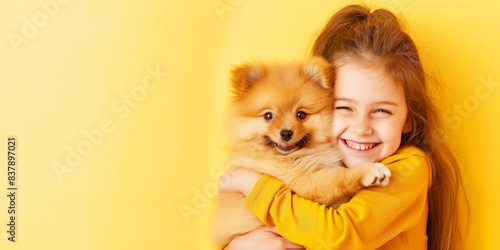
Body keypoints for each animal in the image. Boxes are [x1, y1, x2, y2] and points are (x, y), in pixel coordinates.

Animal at [211, 57, 390, 247]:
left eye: (301, 114)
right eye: (268, 116)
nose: (286, 133)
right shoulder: (306, 183)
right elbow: (340, 177)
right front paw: (370, 171)